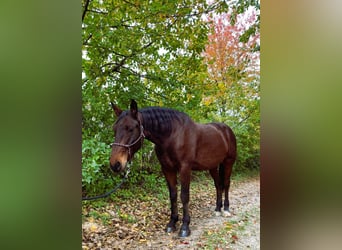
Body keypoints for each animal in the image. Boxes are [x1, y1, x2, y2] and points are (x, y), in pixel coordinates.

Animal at [109, 99, 235, 236]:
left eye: (130, 128)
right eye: (114, 129)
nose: (115, 164)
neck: (172, 135)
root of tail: (226, 130)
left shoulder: (185, 169)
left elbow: (184, 196)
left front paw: (185, 227)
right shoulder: (167, 169)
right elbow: (173, 195)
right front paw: (172, 223)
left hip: (228, 162)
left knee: (226, 184)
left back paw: (226, 209)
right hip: (212, 166)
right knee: (218, 185)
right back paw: (217, 209)